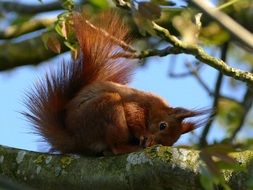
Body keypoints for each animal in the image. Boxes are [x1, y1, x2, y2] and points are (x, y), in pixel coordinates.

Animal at [24, 11, 209, 155]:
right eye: (163, 125)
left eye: (165, 143)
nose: (149, 143)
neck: (155, 106)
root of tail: (75, 140)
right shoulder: (137, 102)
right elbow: (133, 113)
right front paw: (144, 135)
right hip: (105, 108)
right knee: (116, 147)